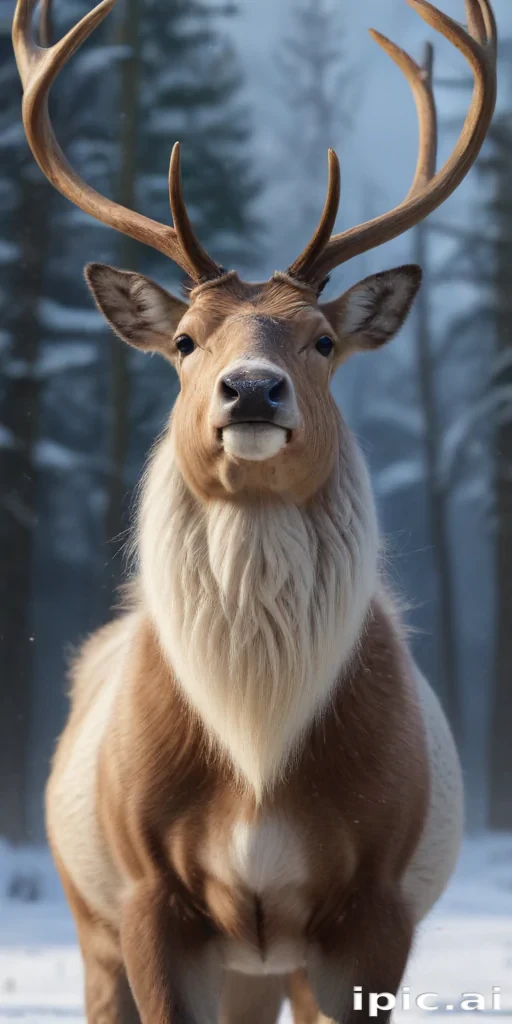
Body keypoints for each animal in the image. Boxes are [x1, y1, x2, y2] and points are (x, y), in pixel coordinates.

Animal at [12, 0, 496, 1021]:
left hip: (268, 967)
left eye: (322, 341)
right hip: (91, 918)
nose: (251, 390)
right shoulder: (148, 896)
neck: (257, 747)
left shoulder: (378, 900)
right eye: (187, 341)